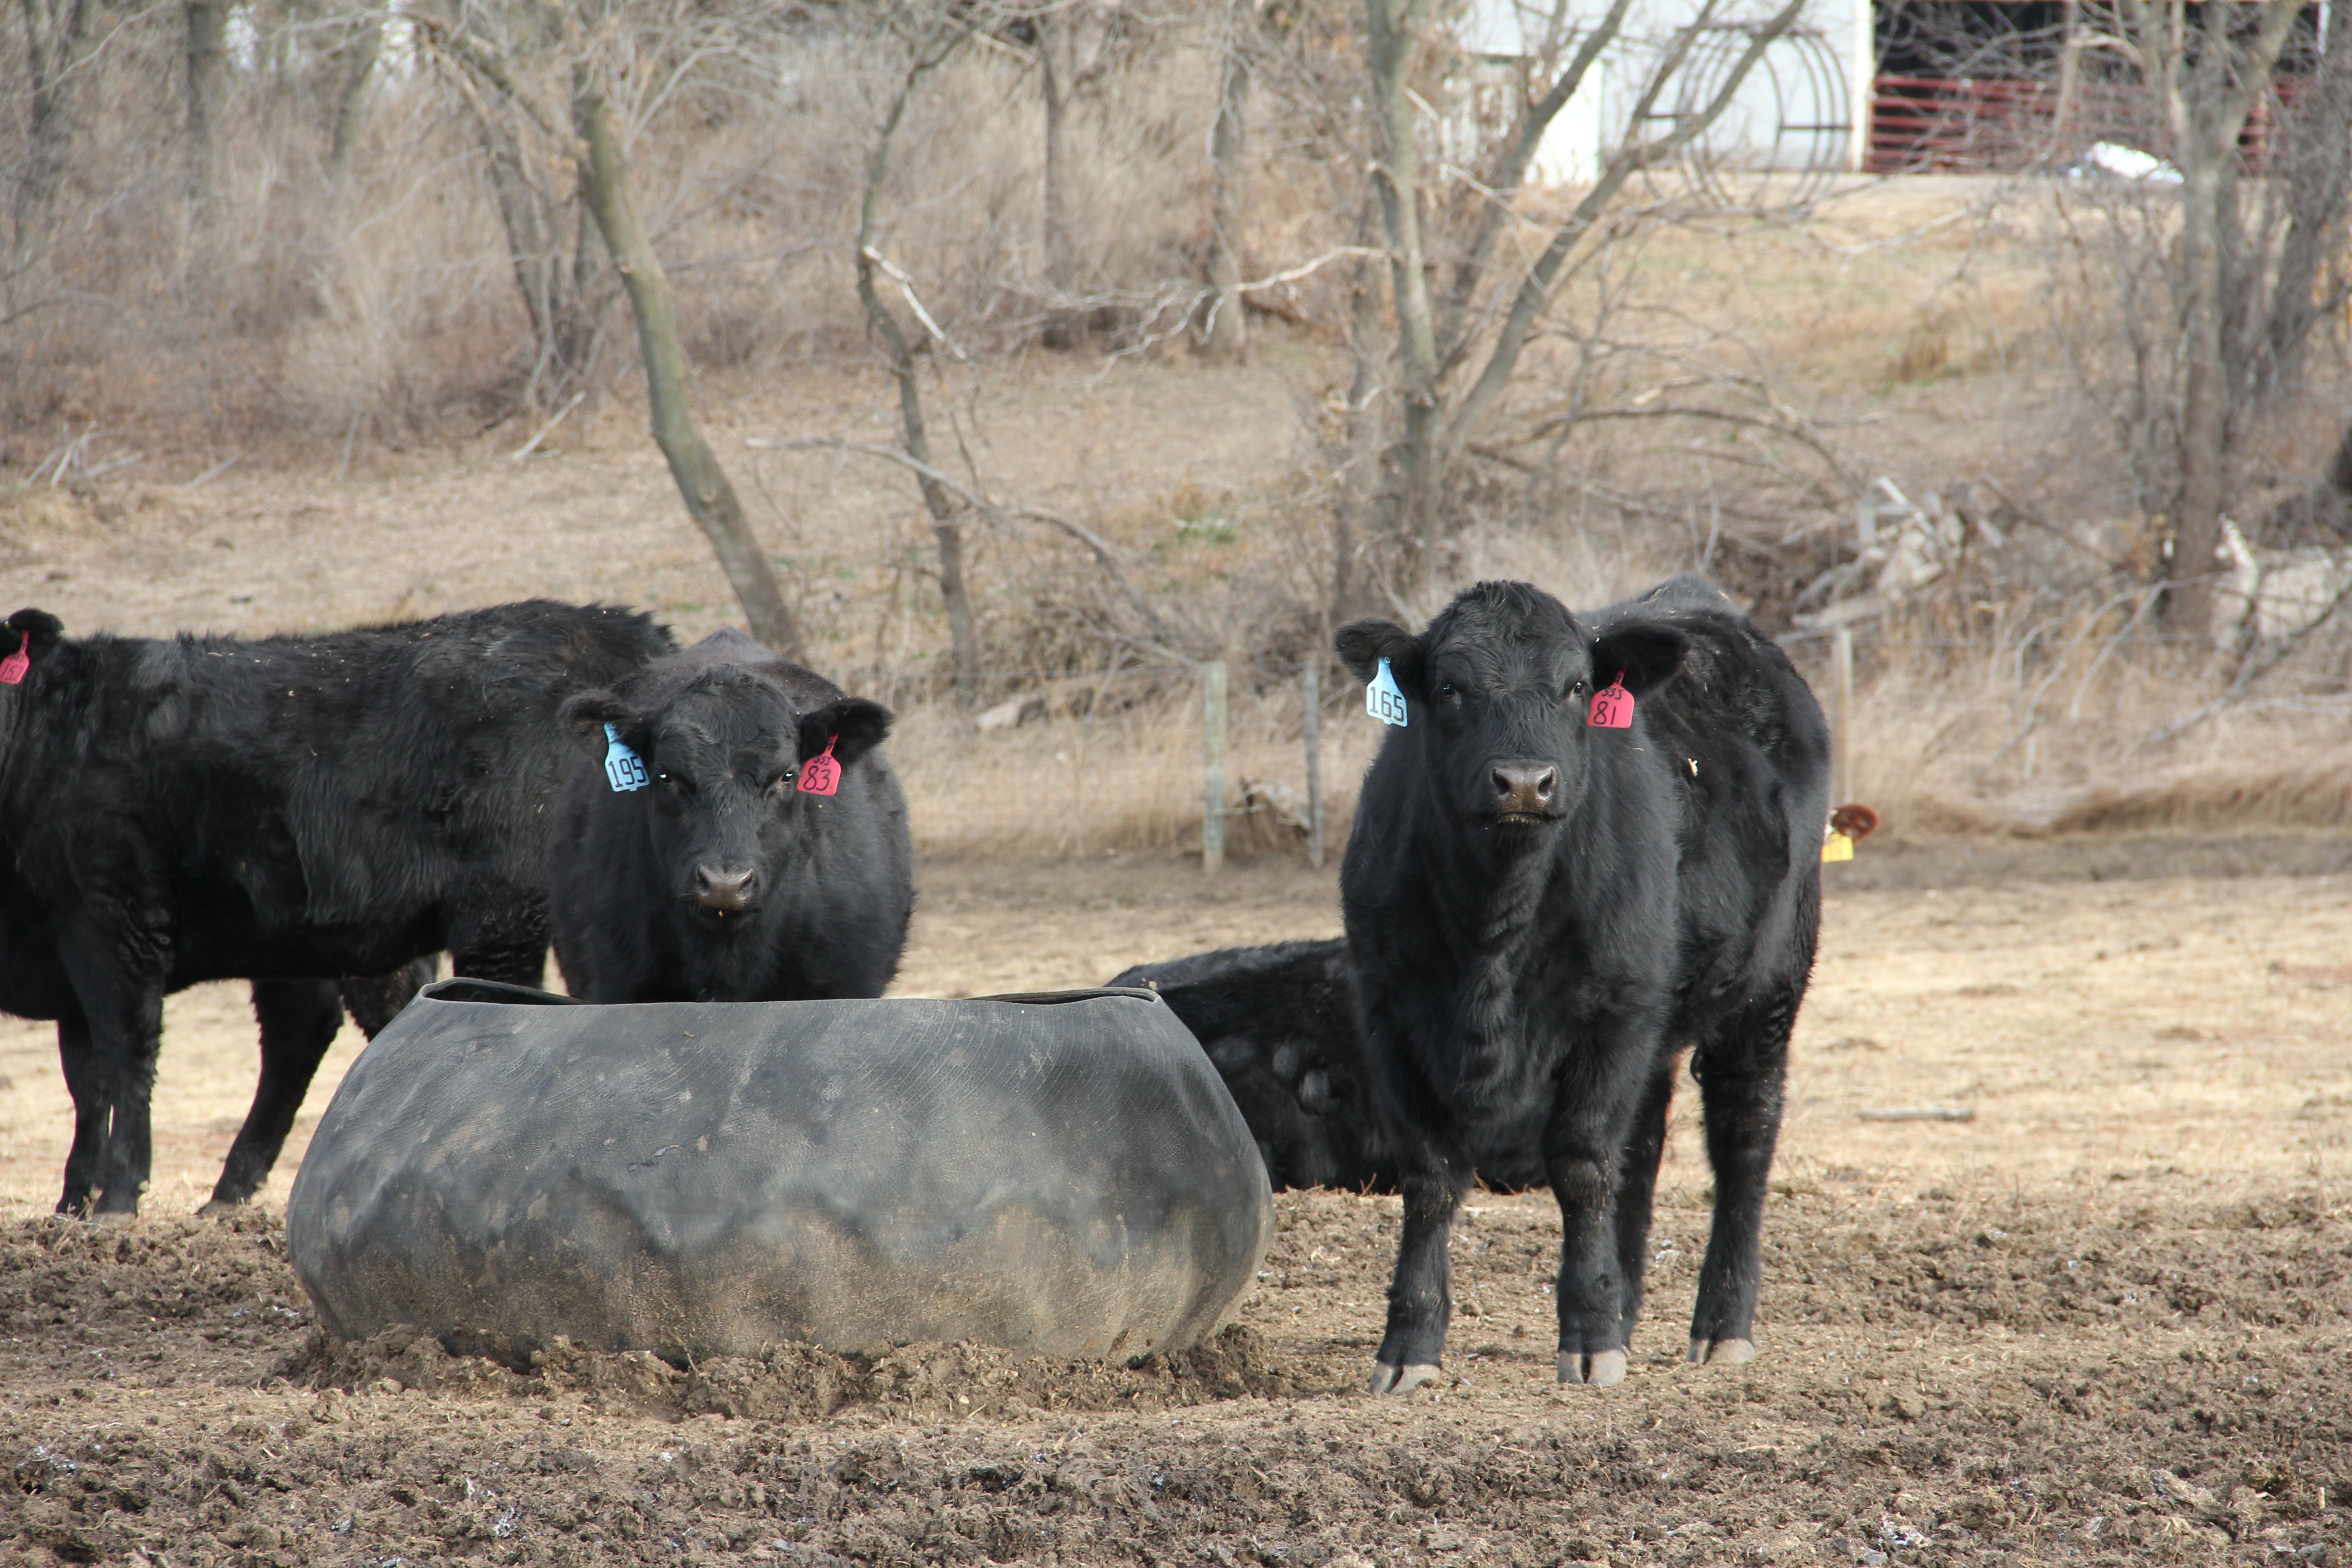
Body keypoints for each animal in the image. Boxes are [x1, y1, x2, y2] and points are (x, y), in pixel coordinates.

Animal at [0, 602, 672, 1213]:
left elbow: (125, 1055)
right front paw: (73, 1201)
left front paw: (116, 1197)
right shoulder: (69, 950)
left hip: (501, 918)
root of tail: (615, 625)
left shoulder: (112, 918)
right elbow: (86, 1080)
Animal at [1336, 580, 1825, 1401]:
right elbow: (1430, 1175)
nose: (1523, 783)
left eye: (1573, 687)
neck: (1494, 932)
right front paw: (1410, 1345)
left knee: (1743, 1138)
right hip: (1659, 1020)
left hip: (1769, 988)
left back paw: (1722, 1324)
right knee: (1645, 1147)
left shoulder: (1613, 1014)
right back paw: (1626, 1303)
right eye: (1449, 688)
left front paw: (1590, 1338)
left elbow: (1581, 1164)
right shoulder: (1387, 1015)